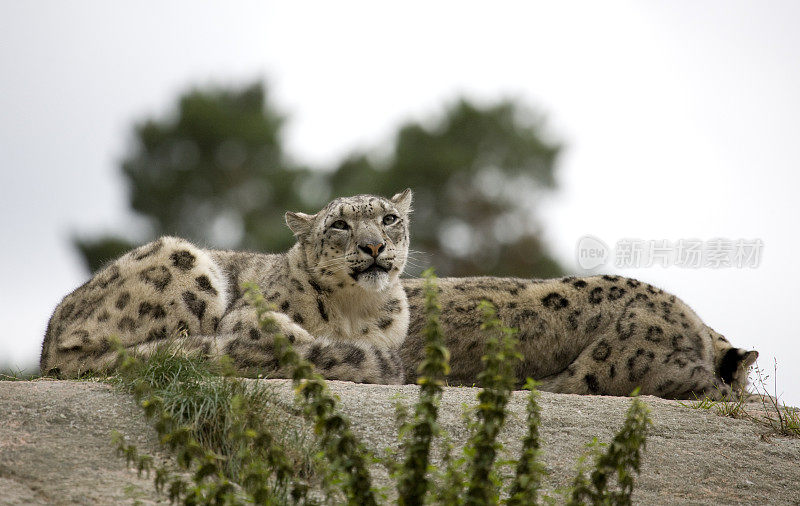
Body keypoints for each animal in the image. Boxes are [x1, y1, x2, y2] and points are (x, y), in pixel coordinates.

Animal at [39, 191, 412, 384]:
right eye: (339, 224)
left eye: (389, 219)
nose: (373, 246)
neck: (354, 309)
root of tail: (50, 352)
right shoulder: (245, 315)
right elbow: (284, 332)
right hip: (183, 263)